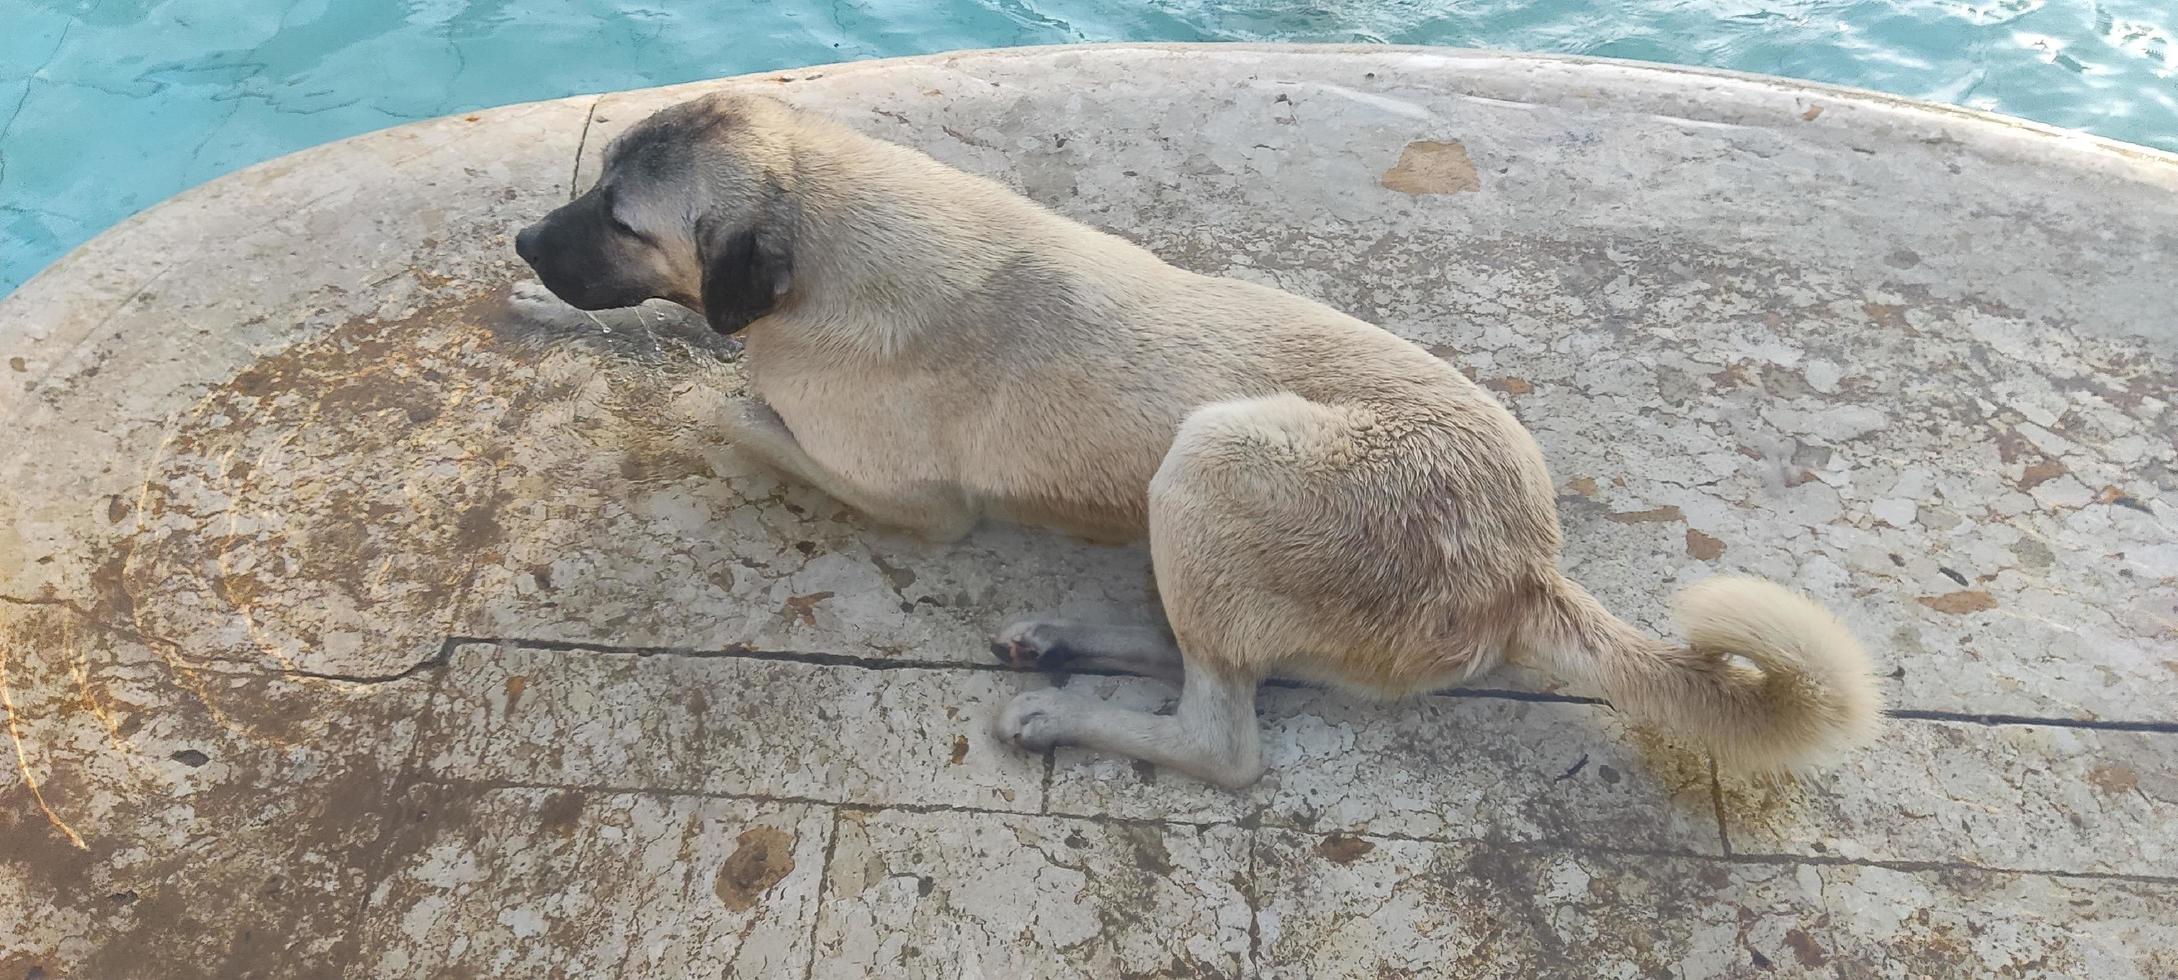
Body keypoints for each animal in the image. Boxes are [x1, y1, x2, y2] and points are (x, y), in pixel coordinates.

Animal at [518, 92, 1881, 788]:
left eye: (623, 219)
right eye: (593, 188)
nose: (525, 241)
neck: (823, 224)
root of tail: (1526, 566)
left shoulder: (910, 499)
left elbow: (726, 406)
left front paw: (664, 385)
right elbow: (707, 365)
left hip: (1217, 451)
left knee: (1225, 736)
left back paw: (1062, 711)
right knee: (1220, 657)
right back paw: (1068, 639)